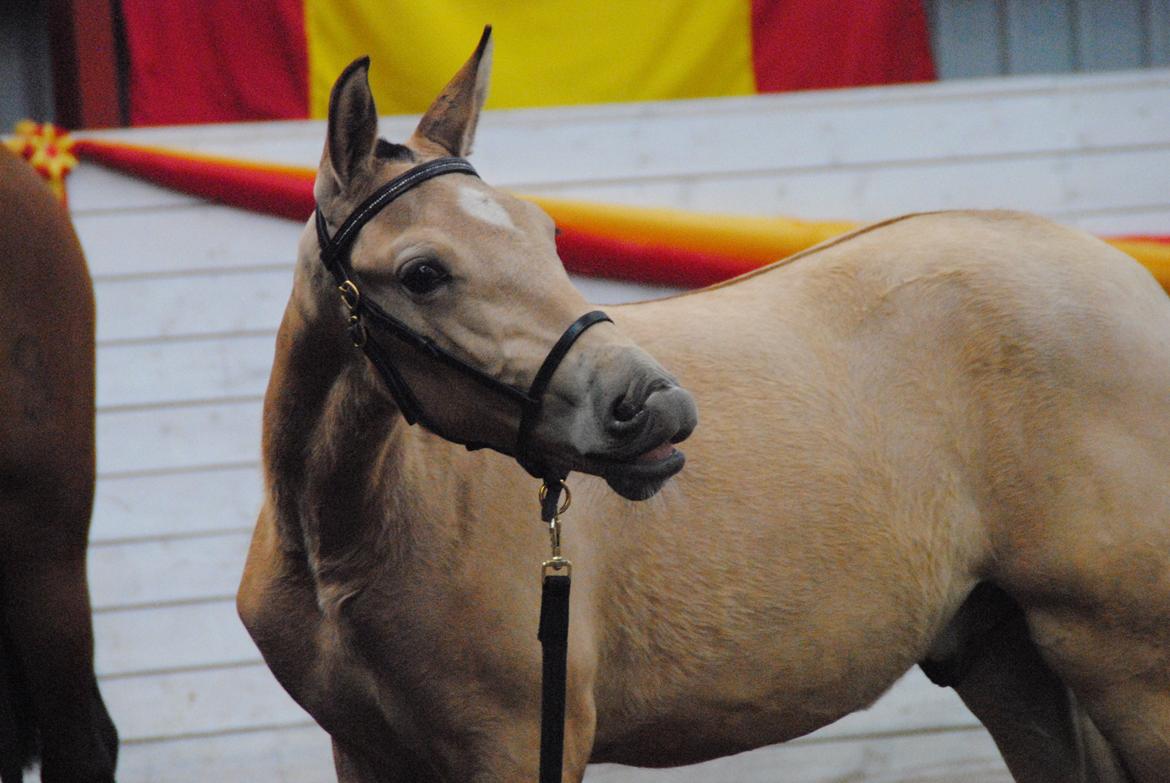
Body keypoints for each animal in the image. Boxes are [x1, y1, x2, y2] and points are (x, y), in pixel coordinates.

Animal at [237, 25, 1170, 781]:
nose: (654, 404)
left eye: (548, 234)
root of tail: (1130, 277)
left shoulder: (520, 742)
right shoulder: (367, 750)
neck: (349, 549)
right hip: (1008, 657)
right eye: (424, 272)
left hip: (1128, 660)